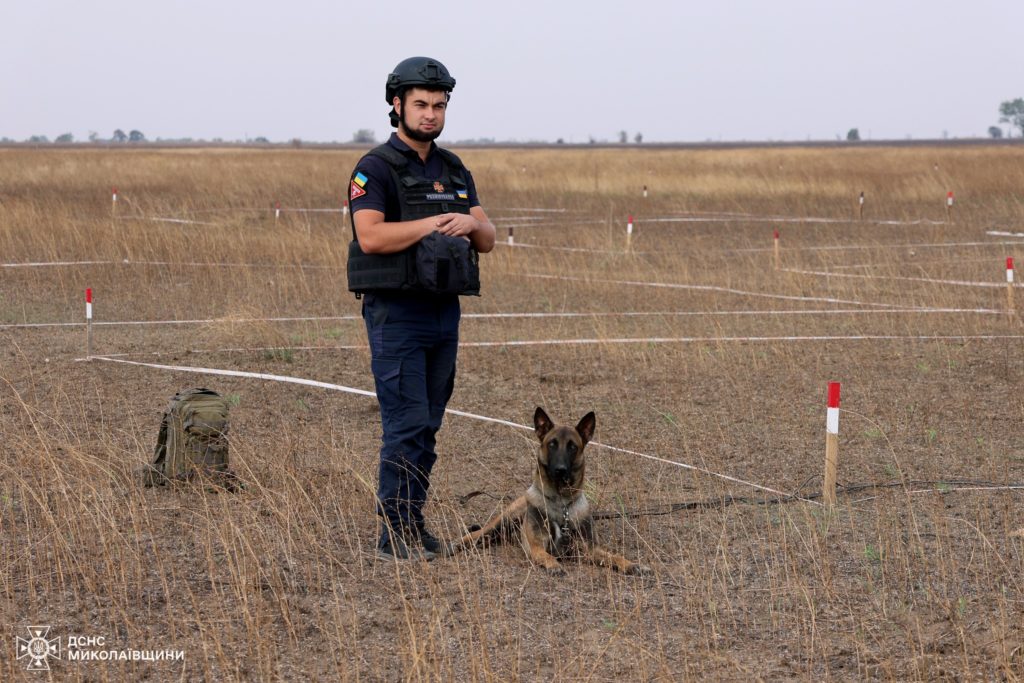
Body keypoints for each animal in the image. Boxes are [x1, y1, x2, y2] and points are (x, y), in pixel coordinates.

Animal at [454, 409, 647, 573]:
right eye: (552, 444)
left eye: (572, 446)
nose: (560, 470)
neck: (562, 503)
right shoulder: (536, 547)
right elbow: (544, 555)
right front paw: (553, 564)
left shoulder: (590, 550)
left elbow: (613, 556)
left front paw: (630, 564)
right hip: (503, 520)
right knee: (477, 533)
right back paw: (455, 545)